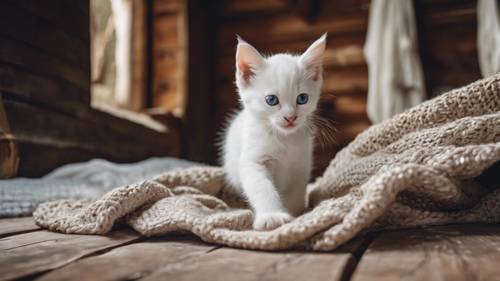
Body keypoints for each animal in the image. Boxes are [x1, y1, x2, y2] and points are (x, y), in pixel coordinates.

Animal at [222, 34, 324, 230]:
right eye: (271, 100)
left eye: (302, 98)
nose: (290, 117)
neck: (283, 139)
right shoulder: (253, 161)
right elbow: (262, 187)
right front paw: (272, 216)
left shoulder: (301, 166)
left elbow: (296, 193)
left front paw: (296, 214)